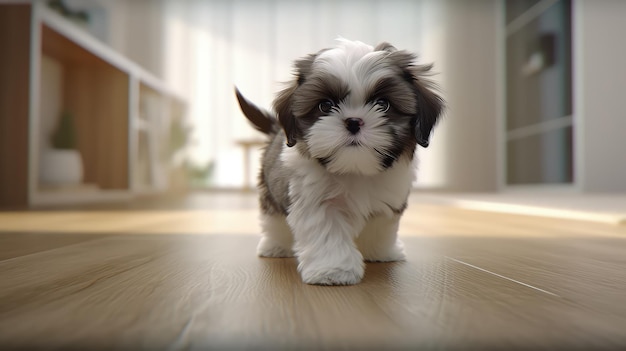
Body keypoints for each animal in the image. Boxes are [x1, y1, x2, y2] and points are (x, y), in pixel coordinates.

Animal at [235, 38, 444, 286]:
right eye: (325, 106)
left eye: (383, 104)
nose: (354, 121)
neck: (355, 169)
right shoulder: (316, 201)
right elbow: (328, 233)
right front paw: (334, 271)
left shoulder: (388, 200)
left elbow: (380, 227)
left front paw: (379, 252)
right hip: (270, 190)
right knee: (273, 218)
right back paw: (275, 246)